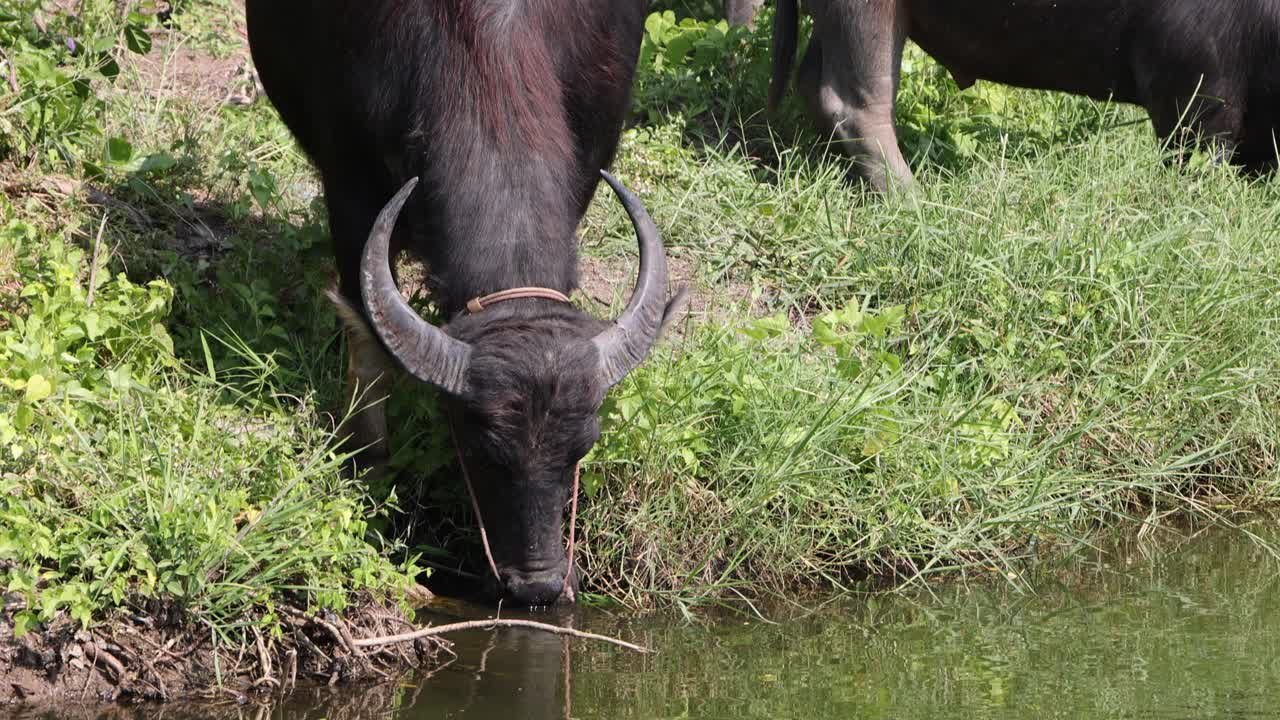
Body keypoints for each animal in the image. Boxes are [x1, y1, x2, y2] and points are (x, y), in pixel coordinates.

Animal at [244, 1, 686, 604]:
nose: (537, 586)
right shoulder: (349, 185)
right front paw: (370, 477)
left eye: (583, 448)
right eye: (479, 450)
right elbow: (368, 339)